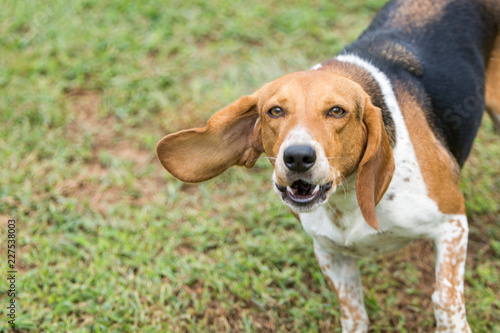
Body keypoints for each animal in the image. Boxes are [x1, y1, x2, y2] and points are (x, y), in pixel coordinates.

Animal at [156, 1, 500, 330]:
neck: (345, 200)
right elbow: (353, 313)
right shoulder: (331, 253)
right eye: (275, 111)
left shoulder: (451, 223)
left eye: (337, 111)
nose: (297, 156)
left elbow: (445, 300)